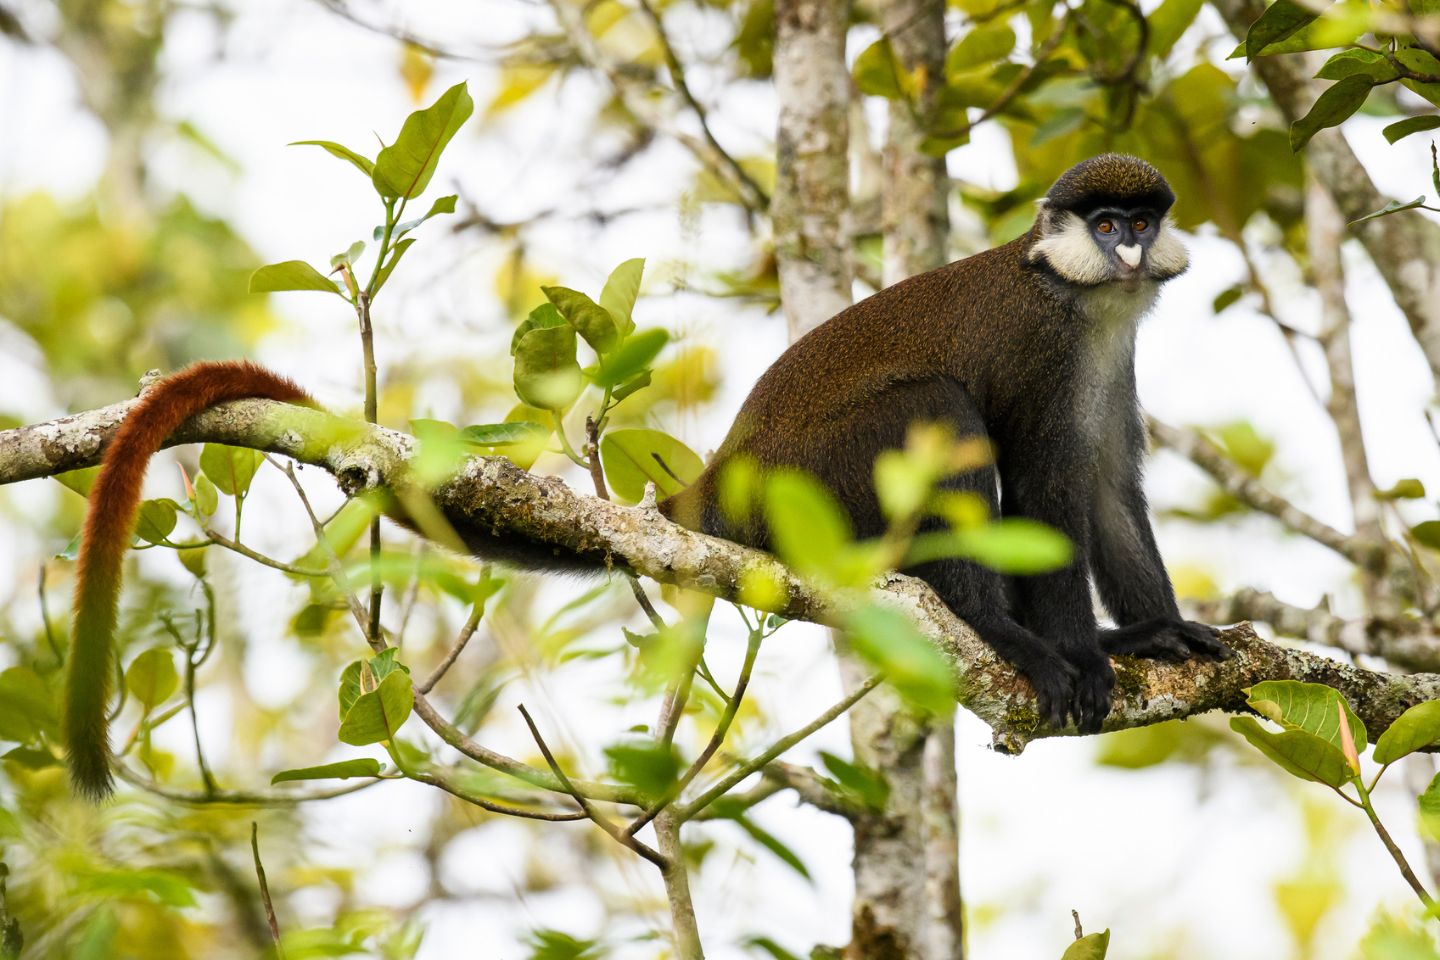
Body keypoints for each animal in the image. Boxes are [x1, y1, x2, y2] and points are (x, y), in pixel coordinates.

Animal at [64, 154, 1226, 800]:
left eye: (1141, 223)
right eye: (1106, 225)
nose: (1130, 253)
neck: (1087, 300)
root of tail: (730, 476)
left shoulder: (1110, 353)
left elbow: (1108, 490)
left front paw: (1158, 632)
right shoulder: (1045, 345)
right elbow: (1044, 493)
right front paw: (1073, 655)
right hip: (820, 473)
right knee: (935, 406)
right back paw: (993, 627)